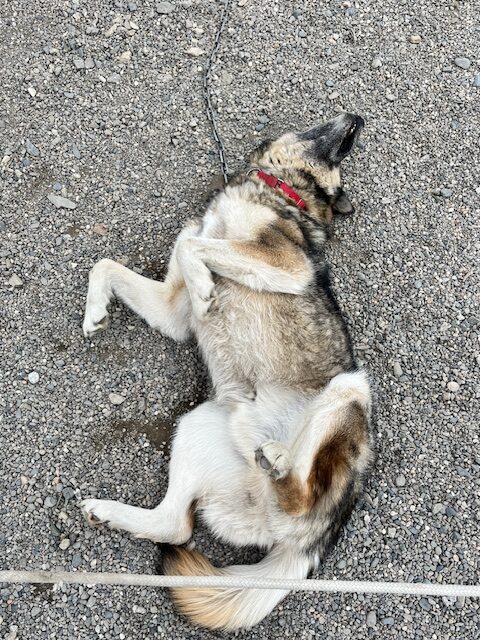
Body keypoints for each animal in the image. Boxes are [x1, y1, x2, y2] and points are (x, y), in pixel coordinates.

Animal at [79, 114, 372, 632]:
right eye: (338, 144)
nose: (357, 119)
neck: (282, 191)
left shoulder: (285, 264)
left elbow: (197, 244)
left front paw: (203, 285)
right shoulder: (172, 312)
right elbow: (107, 264)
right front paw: (95, 311)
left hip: (351, 387)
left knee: (294, 491)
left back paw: (280, 461)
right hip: (198, 426)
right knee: (175, 526)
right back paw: (109, 512)